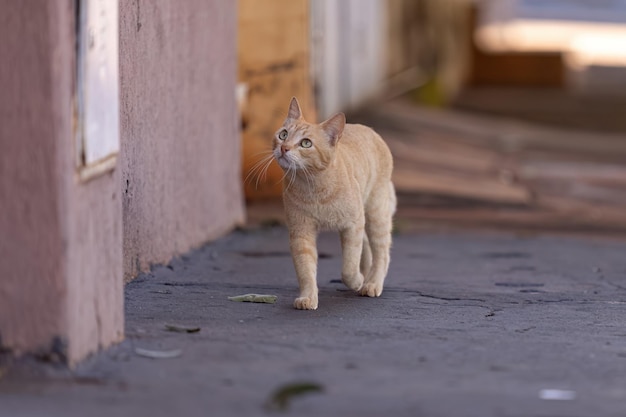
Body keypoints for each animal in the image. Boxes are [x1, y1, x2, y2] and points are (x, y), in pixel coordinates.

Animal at [272, 97, 394, 308]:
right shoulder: (301, 233)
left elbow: (348, 268)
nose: (284, 148)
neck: (313, 187)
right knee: (368, 248)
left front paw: (357, 281)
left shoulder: (352, 225)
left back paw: (371, 283)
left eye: (306, 143)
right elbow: (305, 269)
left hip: (375, 214)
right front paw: (308, 297)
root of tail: (371, 130)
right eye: (283, 134)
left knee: (382, 253)